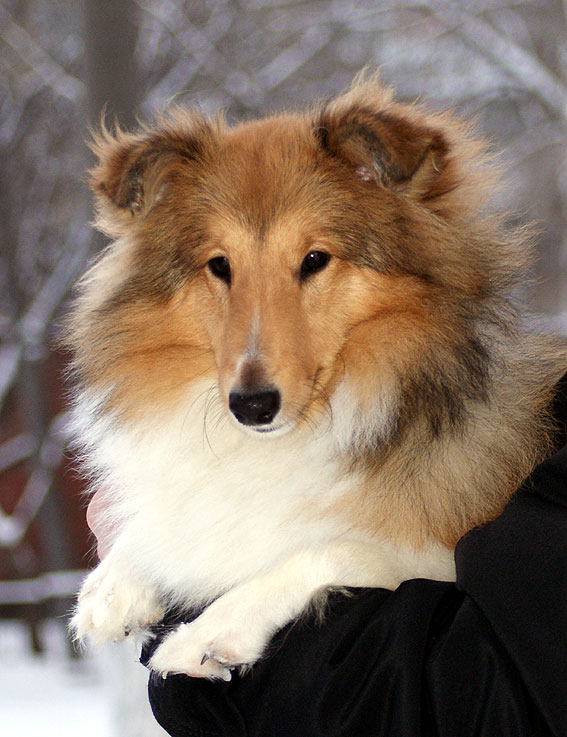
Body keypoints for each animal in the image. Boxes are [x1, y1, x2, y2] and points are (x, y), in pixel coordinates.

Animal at [67, 73, 567, 680]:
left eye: (314, 259)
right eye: (219, 265)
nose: (252, 406)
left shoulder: (432, 553)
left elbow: (329, 549)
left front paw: (205, 634)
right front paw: (113, 585)